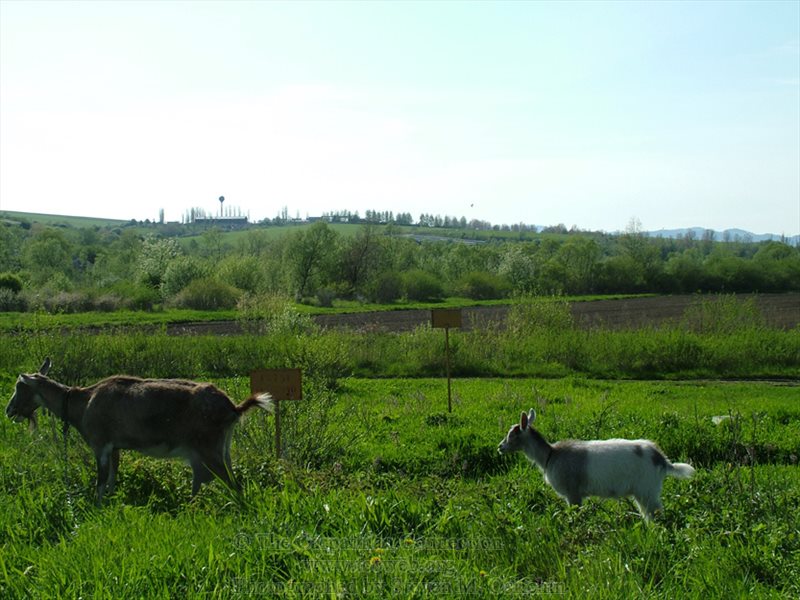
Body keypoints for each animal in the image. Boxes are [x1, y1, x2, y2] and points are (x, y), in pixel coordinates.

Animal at [5, 358, 274, 504]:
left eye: (20, 386)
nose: (9, 410)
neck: (83, 402)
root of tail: (233, 407)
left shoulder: (100, 444)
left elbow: (100, 480)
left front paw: (97, 506)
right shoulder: (114, 447)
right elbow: (112, 478)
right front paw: (111, 501)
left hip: (209, 449)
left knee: (234, 484)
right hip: (221, 448)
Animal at [498, 409, 695, 520]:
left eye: (512, 434)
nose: (500, 447)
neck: (550, 455)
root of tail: (661, 458)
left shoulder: (573, 493)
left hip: (647, 488)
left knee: (656, 513)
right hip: (644, 491)